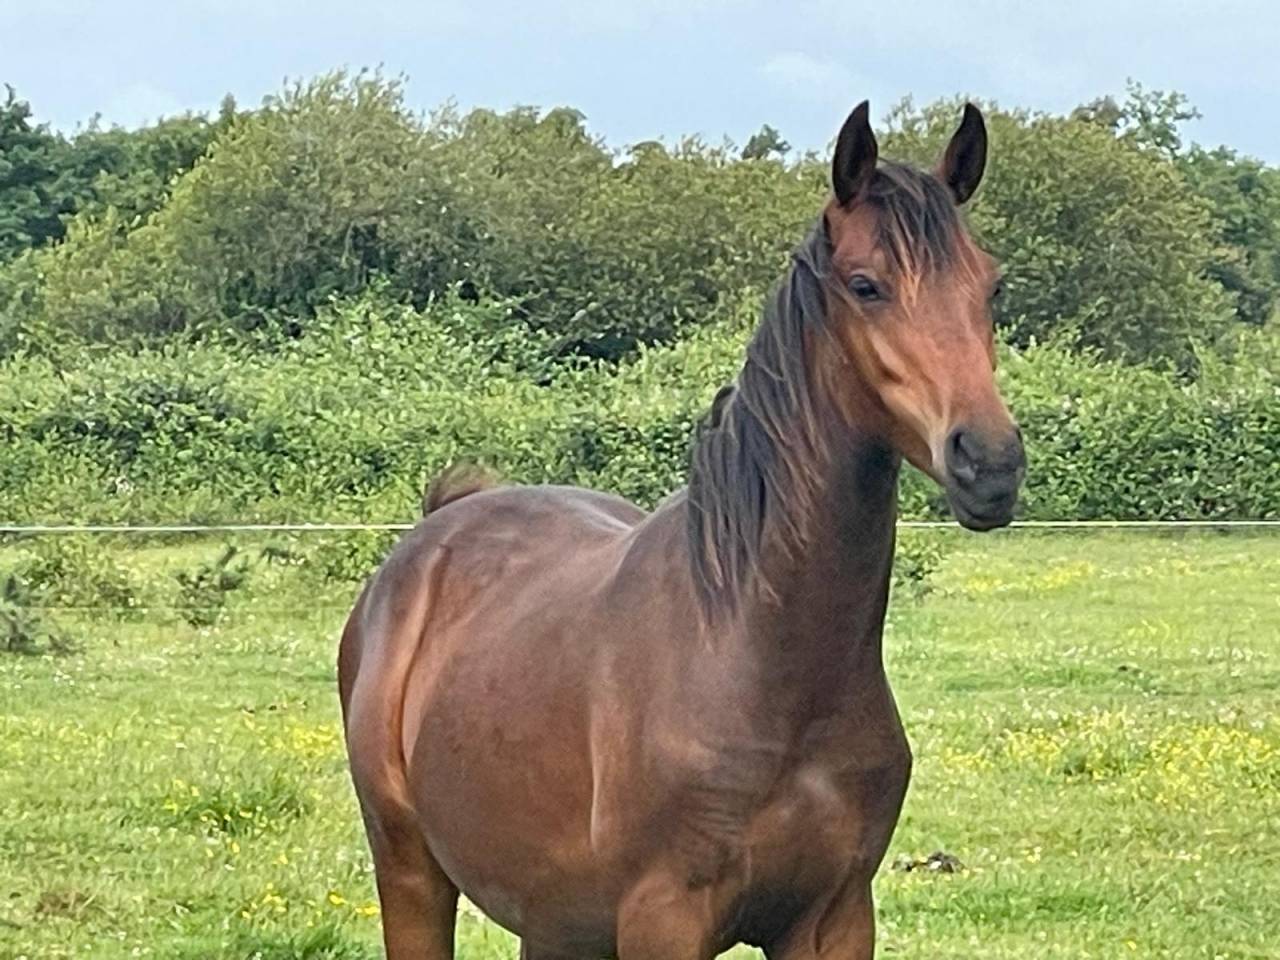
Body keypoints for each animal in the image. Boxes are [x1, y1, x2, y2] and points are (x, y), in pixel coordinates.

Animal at [339, 100, 1025, 960]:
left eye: (989, 284)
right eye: (866, 285)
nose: (990, 462)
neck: (754, 655)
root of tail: (438, 526)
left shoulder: (835, 916)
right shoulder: (664, 919)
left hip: (555, 920)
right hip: (411, 876)